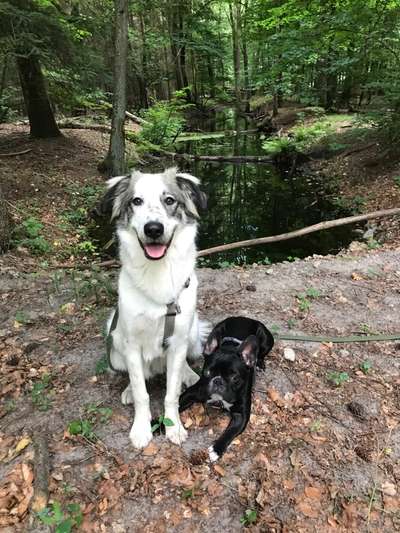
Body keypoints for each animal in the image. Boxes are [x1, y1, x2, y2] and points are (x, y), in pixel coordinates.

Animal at [101, 167, 208, 448]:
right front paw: (141, 429)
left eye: (169, 200)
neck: (157, 271)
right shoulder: (131, 345)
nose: (153, 229)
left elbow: (171, 394)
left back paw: (189, 374)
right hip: (115, 342)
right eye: (136, 201)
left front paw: (173, 427)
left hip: (192, 334)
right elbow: (142, 393)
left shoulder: (178, 340)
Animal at [180, 316, 274, 462]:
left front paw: (216, 449)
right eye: (207, 372)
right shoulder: (191, 393)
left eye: (235, 378)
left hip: (266, 340)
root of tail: (245, 318)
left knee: (262, 353)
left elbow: (230, 432)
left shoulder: (241, 415)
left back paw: (259, 363)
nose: (218, 381)